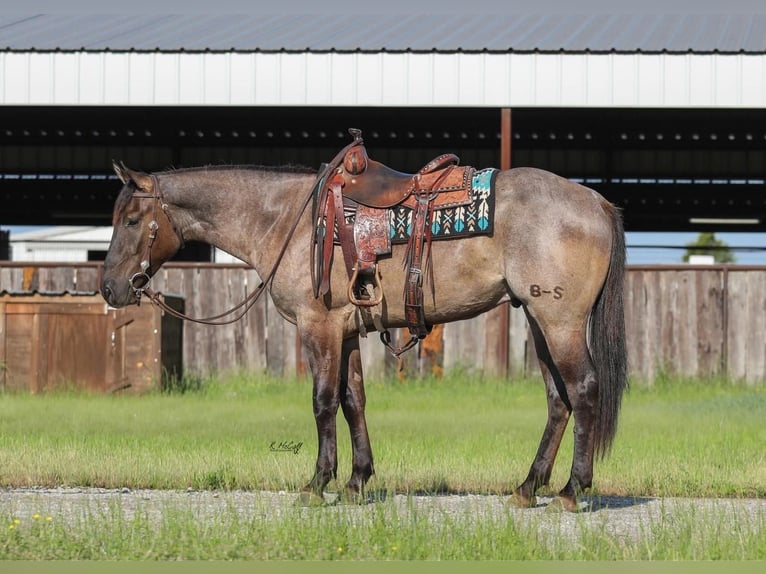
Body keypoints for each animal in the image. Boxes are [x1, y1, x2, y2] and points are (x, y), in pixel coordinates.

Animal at [103, 138, 632, 512]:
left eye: (131, 220)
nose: (109, 288)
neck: (286, 220)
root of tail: (596, 202)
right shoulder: (346, 330)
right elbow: (353, 400)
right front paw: (357, 480)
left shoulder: (317, 326)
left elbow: (322, 402)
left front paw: (317, 483)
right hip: (541, 322)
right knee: (558, 399)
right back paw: (527, 487)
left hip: (560, 322)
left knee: (583, 390)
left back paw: (570, 490)